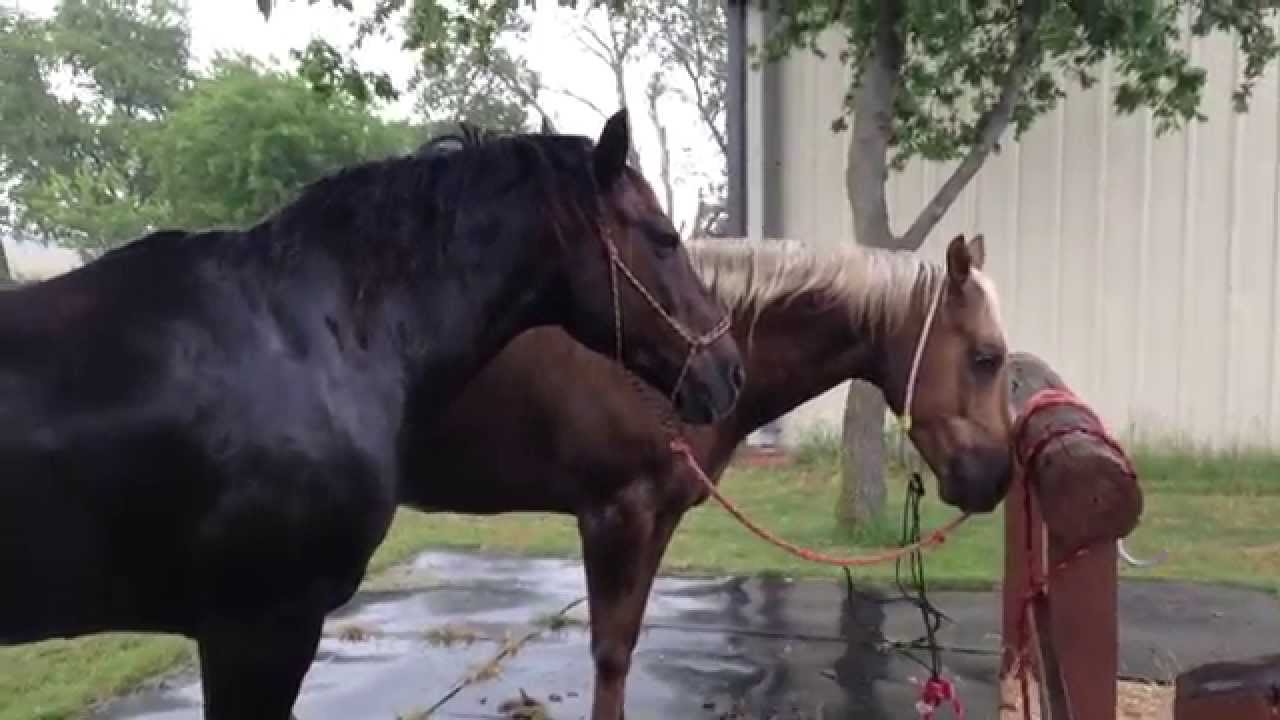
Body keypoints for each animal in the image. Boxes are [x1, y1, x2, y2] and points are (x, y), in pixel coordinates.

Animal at [407, 233, 1012, 720]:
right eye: (986, 357)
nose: (996, 478)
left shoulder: (657, 518)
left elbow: (623, 649)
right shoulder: (613, 517)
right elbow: (609, 657)